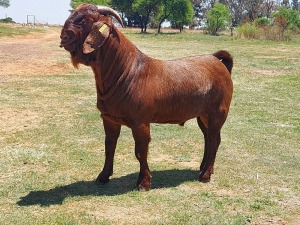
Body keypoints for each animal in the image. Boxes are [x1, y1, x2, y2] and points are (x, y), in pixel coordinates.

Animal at [59, 3, 233, 191]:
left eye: (85, 20)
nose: (63, 36)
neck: (127, 70)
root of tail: (217, 60)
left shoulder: (140, 121)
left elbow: (140, 151)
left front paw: (144, 182)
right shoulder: (108, 118)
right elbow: (109, 146)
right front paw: (103, 176)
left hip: (218, 111)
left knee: (214, 139)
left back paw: (205, 175)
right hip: (202, 115)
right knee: (209, 137)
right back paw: (204, 167)